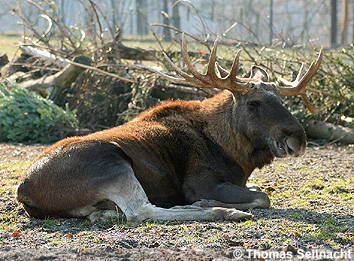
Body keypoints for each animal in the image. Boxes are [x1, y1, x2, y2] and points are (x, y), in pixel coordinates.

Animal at [16, 35, 322, 221]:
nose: (298, 139)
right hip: (112, 163)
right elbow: (263, 197)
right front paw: (212, 204)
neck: (234, 152)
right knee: (141, 212)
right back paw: (221, 211)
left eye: (281, 99)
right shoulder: (200, 183)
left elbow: (260, 191)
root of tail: (23, 190)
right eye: (254, 103)